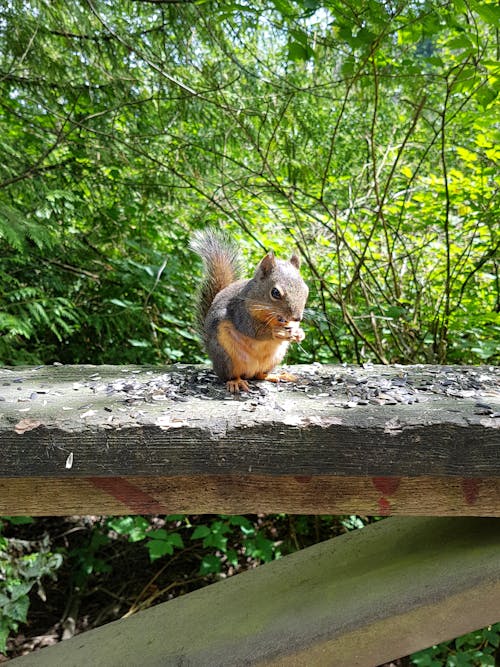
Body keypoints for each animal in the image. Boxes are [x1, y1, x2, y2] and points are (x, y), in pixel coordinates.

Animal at [191, 228, 308, 392]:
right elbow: (252, 330)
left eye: (306, 289)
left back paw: (274, 375)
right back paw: (236, 382)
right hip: (226, 356)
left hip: (274, 359)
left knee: (259, 375)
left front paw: (299, 333)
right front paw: (276, 332)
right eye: (275, 292)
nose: (297, 318)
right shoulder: (240, 313)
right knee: (230, 375)